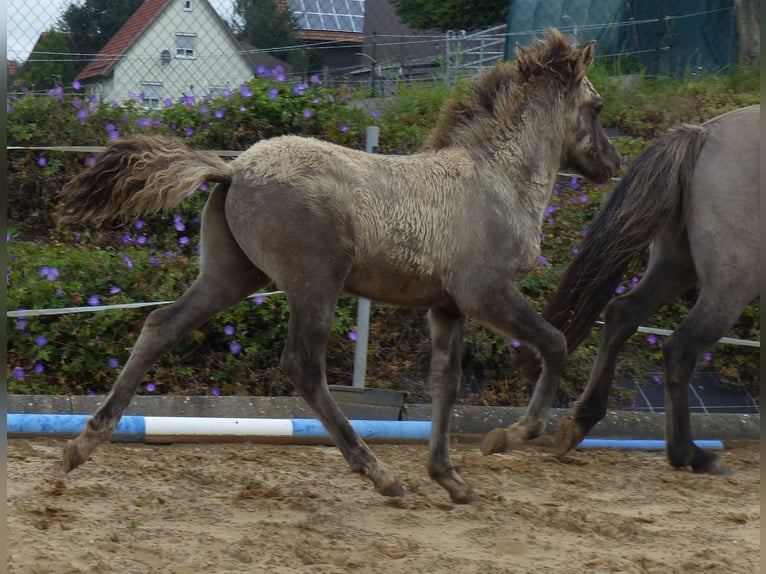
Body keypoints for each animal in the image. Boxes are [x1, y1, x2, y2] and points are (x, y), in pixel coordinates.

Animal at [57, 30, 620, 504]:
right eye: (596, 106)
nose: (611, 164)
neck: (498, 179)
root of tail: (233, 168)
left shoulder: (446, 306)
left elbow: (446, 383)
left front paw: (449, 477)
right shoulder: (487, 293)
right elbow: (555, 343)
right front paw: (509, 437)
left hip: (230, 276)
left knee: (160, 326)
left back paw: (83, 444)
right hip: (316, 282)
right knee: (302, 365)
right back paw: (378, 472)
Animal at [510, 107, 760, 476]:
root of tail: (704, 133)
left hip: (677, 266)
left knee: (622, 314)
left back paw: (581, 421)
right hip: (731, 284)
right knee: (681, 347)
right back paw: (691, 454)